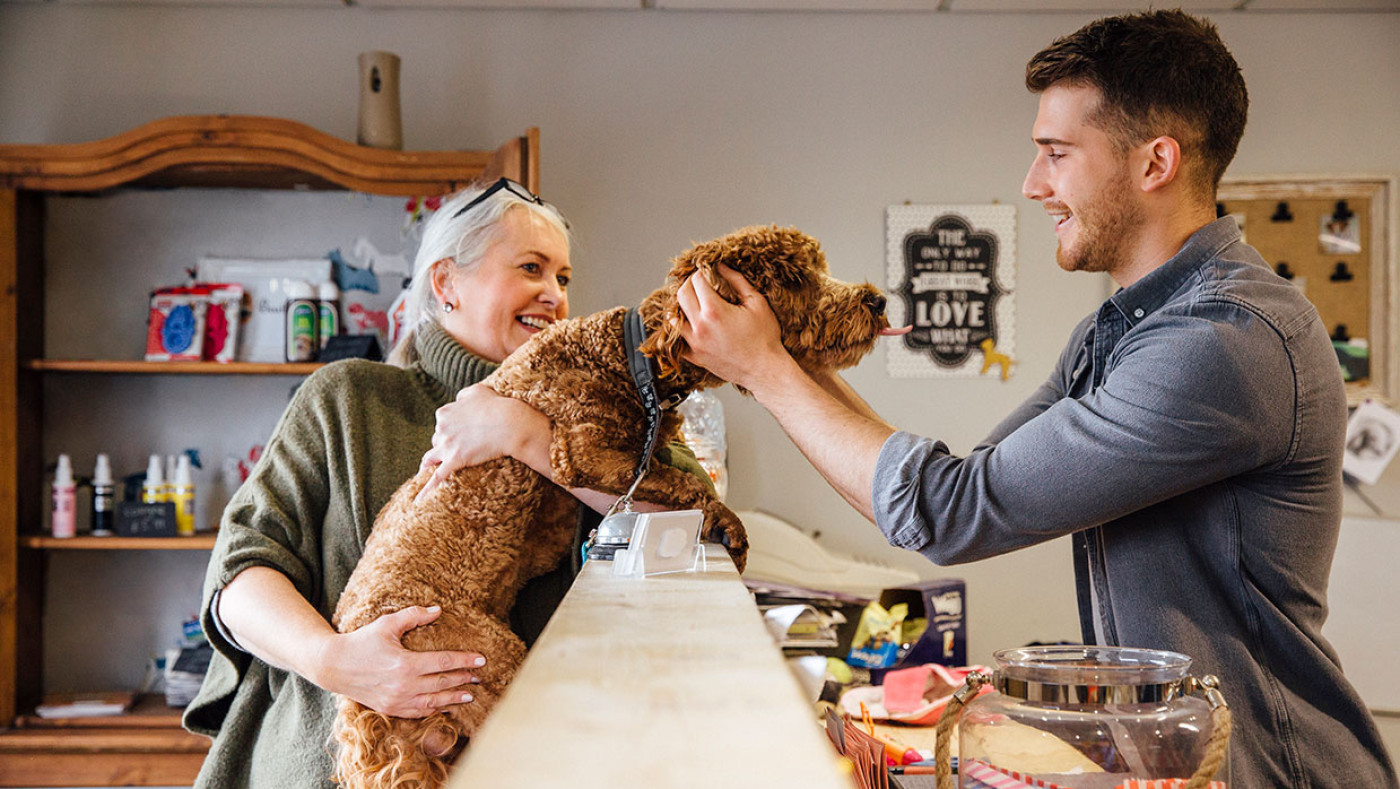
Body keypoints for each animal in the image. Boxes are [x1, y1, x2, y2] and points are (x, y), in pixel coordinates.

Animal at [329, 225, 896, 783]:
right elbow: (685, 483)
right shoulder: (583, 451)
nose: (877, 300)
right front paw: (731, 530)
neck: (630, 357)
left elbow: (677, 475)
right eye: (795, 278)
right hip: (478, 662)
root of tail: (364, 711)